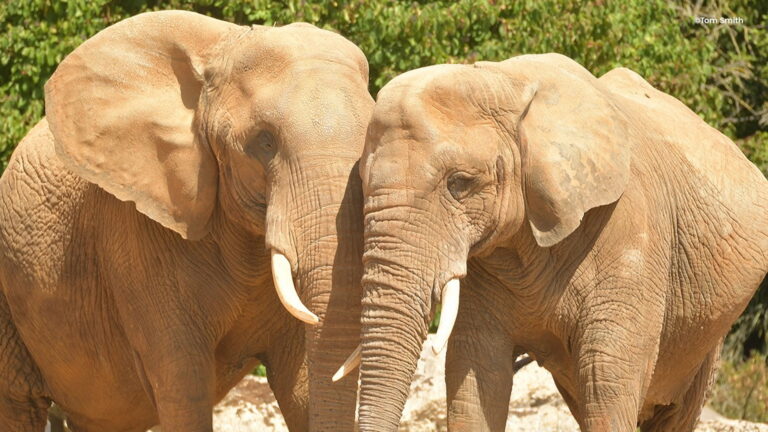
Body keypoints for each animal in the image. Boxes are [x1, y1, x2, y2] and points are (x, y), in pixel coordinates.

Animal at [336, 54, 768, 432]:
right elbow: (475, 370)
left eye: (459, 183)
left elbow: (605, 372)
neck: (505, 82)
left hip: (709, 329)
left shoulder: (632, 231)